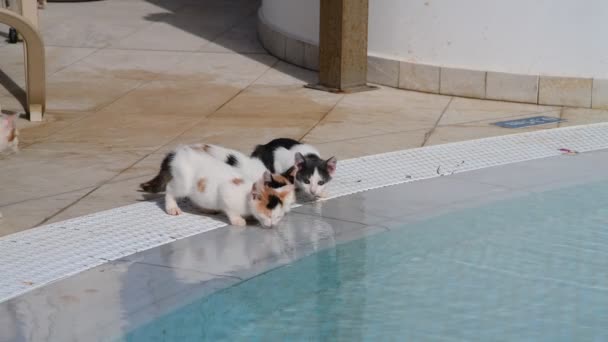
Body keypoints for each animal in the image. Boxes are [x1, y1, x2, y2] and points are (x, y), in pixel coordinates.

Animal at [142, 144, 294, 227]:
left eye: (278, 217)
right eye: (269, 215)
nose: (273, 224)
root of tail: (177, 153)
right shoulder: (226, 192)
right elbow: (230, 209)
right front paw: (238, 220)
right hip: (182, 183)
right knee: (170, 190)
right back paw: (172, 208)